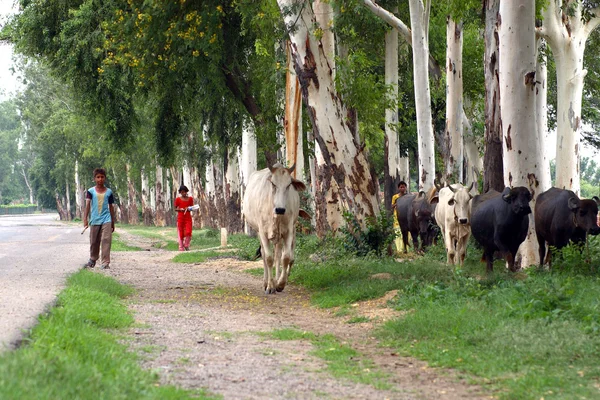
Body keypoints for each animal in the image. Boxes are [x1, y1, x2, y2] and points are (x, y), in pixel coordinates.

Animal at [240, 162, 304, 294]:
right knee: (264, 255)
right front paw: (270, 286)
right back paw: (266, 282)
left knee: (278, 256)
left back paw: (275, 280)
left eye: (289, 185)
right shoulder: (263, 233)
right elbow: (269, 258)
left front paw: (280, 284)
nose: (280, 209)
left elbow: (285, 258)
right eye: (273, 184)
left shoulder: (289, 231)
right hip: (258, 232)